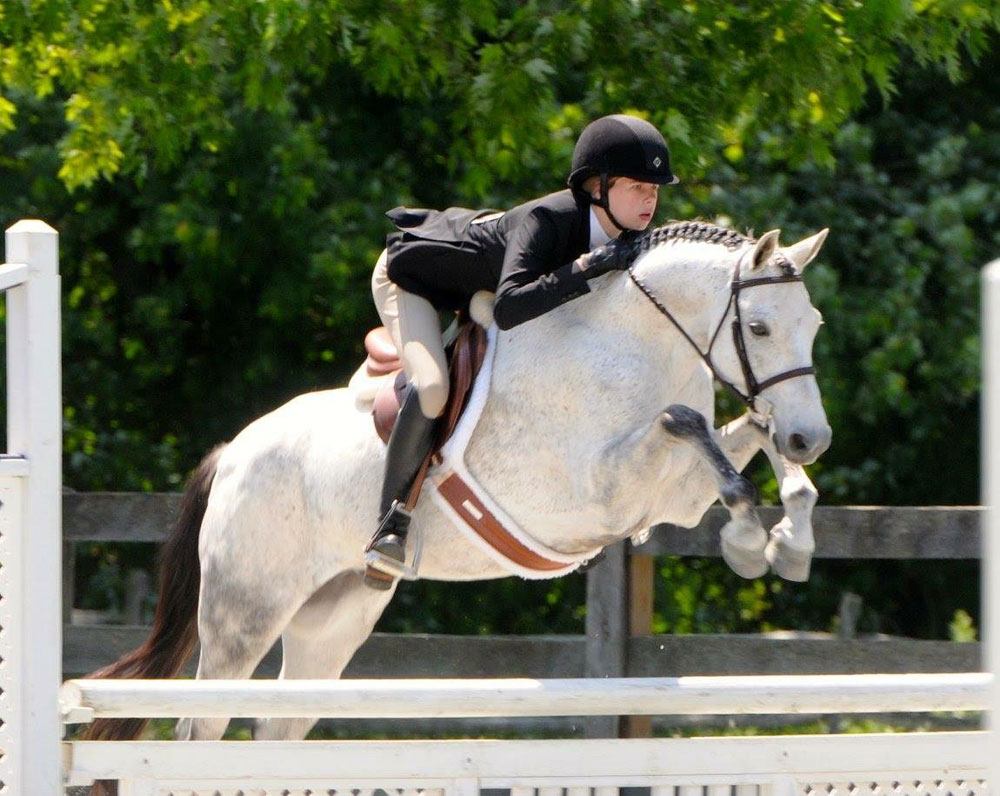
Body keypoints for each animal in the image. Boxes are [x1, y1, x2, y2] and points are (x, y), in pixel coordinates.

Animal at [90, 219, 832, 748]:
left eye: (814, 325)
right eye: (759, 327)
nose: (813, 439)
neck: (636, 346)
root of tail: (231, 454)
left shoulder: (672, 496)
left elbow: (752, 439)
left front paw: (786, 540)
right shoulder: (597, 493)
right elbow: (685, 423)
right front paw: (750, 538)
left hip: (332, 619)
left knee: (278, 726)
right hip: (243, 611)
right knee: (202, 725)